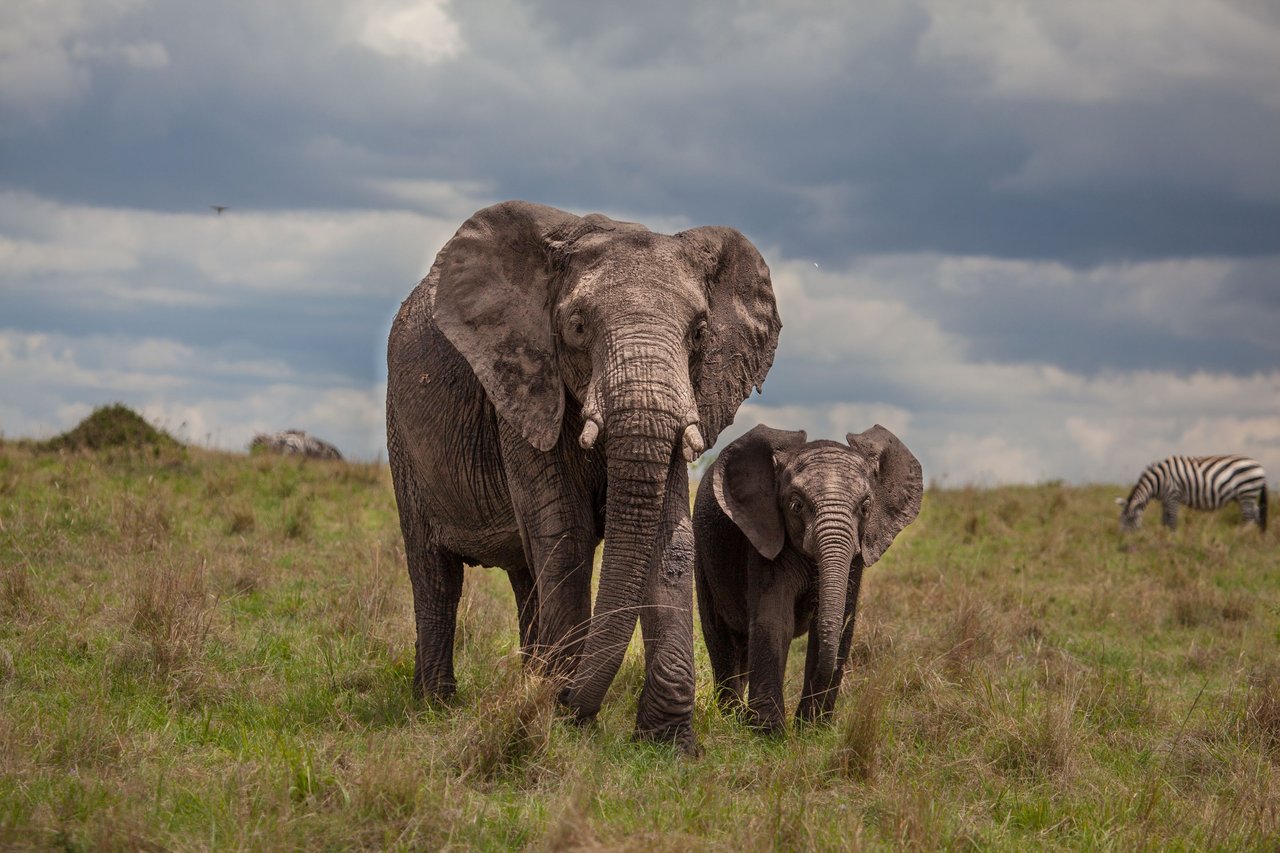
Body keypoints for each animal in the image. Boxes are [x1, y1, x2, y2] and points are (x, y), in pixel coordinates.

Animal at [381, 199, 778, 742]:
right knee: (436, 574)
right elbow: (566, 533)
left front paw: (668, 743)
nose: (572, 706)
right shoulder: (523, 387)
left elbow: (668, 541)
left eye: (699, 332)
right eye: (576, 327)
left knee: (525, 573)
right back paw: (436, 704)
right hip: (403, 438)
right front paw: (561, 716)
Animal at [696, 422, 916, 727]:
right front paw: (767, 730)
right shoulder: (765, 536)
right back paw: (732, 717)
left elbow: (842, 621)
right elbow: (776, 619)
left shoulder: (857, 554)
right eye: (796, 506)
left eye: (865, 506)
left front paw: (812, 728)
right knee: (720, 634)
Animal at [1116, 450, 1264, 532]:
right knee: (1257, 515)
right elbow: (1164, 521)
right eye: (1121, 519)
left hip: (1246, 492)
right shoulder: (1165, 501)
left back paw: (1241, 538)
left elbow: (1172, 521)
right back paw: (1258, 540)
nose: (1124, 538)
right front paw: (1163, 537)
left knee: (1249, 519)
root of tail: (1259, 465)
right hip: (1245, 496)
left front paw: (1172, 540)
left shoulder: (1173, 496)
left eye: (1130, 519)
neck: (1159, 481)